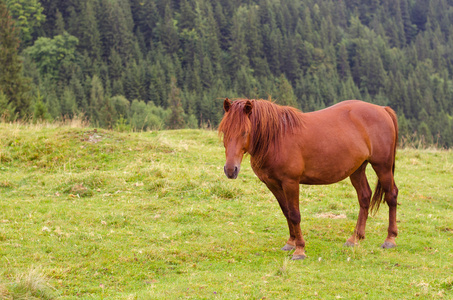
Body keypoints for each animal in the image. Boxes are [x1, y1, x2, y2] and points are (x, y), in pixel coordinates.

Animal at [217, 98, 398, 260]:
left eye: (244, 132)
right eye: (225, 131)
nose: (230, 170)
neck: (277, 138)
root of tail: (382, 109)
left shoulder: (291, 182)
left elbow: (295, 214)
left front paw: (299, 250)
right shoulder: (273, 184)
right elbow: (286, 212)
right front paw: (291, 243)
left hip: (382, 166)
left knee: (391, 195)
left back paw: (390, 239)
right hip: (357, 169)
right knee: (364, 197)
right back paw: (355, 239)